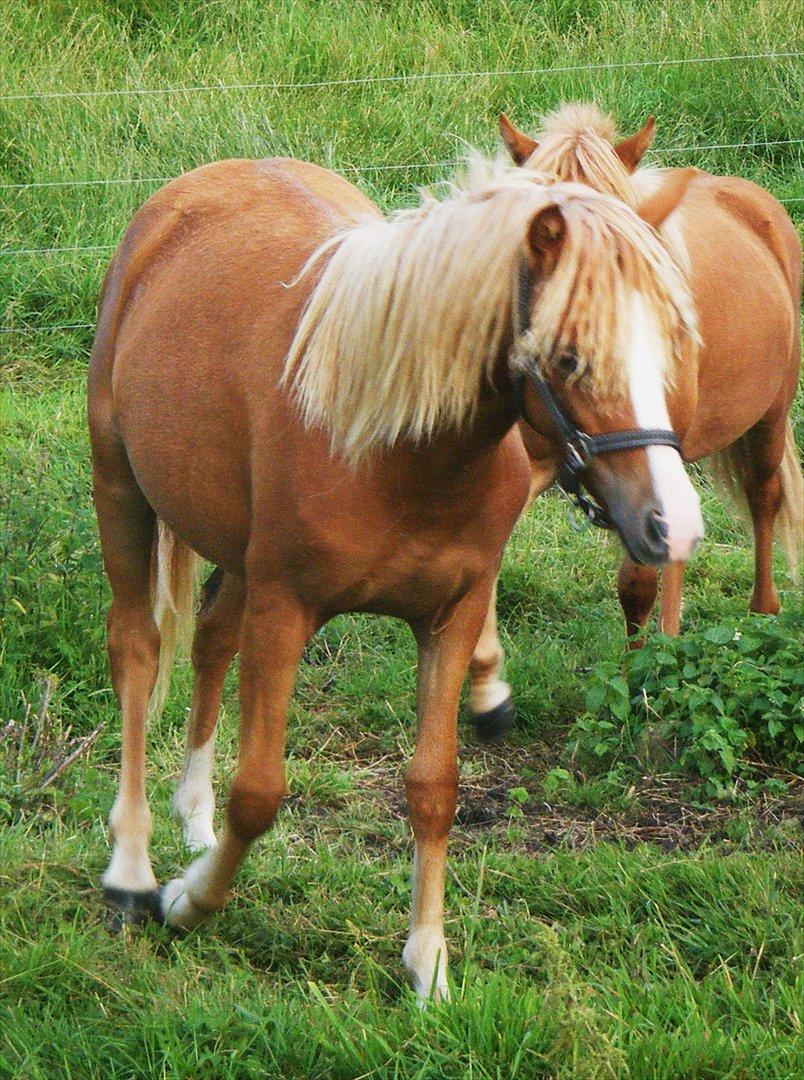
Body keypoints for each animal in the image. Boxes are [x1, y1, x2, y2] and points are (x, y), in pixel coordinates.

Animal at [89, 150, 704, 993]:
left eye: (670, 343)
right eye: (569, 356)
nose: (673, 523)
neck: (397, 450)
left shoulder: (454, 613)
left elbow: (434, 788)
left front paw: (427, 963)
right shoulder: (284, 609)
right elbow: (260, 791)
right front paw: (188, 903)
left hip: (235, 550)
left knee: (211, 638)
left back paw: (193, 817)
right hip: (122, 491)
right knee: (139, 653)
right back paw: (132, 870)